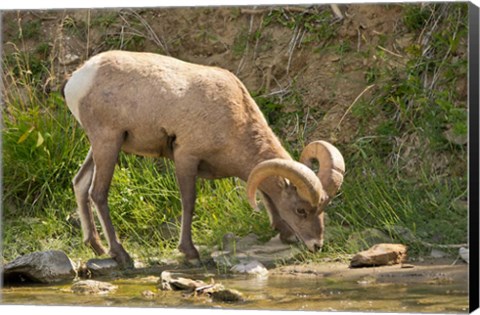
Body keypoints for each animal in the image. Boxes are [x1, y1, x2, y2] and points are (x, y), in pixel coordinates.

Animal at [62, 50, 344, 268]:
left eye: (323, 208)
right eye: (301, 210)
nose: (317, 245)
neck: (234, 119)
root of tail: (78, 80)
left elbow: (266, 195)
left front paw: (285, 233)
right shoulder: (186, 157)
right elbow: (189, 202)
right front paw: (191, 253)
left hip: (101, 146)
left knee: (80, 183)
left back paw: (97, 247)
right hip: (108, 142)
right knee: (98, 193)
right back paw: (121, 255)